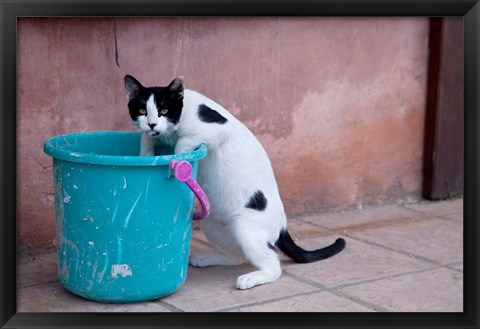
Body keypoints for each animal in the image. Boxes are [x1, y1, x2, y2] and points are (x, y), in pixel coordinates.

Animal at [124, 75, 344, 290]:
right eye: (142, 111)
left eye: (164, 110)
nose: (152, 124)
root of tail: (282, 225)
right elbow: (145, 139)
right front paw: (146, 154)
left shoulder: (218, 129)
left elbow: (183, 142)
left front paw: (178, 160)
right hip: (212, 223)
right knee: (238, 256)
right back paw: (208, 259)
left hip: (244, 227)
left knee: (273, 265)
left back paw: (251, 278)